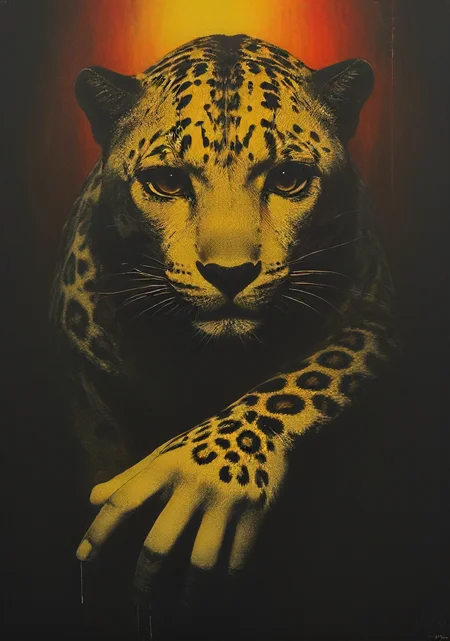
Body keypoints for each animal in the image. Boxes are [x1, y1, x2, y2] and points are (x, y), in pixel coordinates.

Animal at [50, 34, 396, 607]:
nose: (229, 274)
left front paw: (202, 476)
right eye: (167, 182)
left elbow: (308, 380)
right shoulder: (87, 381)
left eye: (288, 178)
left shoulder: (377, 315)